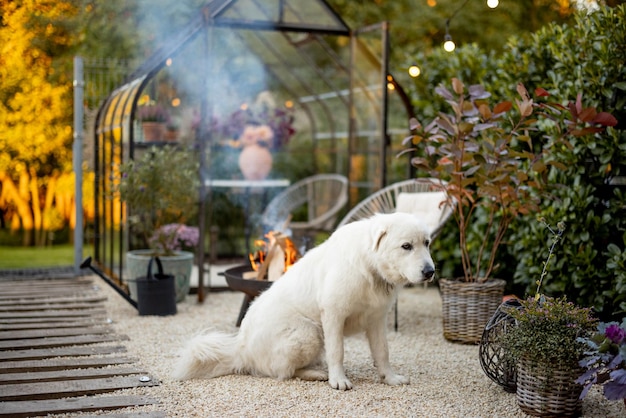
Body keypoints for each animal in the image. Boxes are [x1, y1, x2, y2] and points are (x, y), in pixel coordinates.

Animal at [171, 214, 434, 390]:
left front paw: (390, 378)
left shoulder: (377, 319)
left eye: (427, 243)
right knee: (284, 372)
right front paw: (338, 380)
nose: (430, 272)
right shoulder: (333, 315)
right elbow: (337, 352)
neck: (370, 266)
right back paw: (317, 374)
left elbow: (382, 352)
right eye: (406, 246)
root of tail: (241, 349)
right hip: (309, 332)